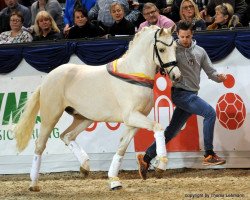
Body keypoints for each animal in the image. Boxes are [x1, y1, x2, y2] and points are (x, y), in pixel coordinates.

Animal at [13, 25, 181, 191]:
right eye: (161, 49)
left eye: (175, 47)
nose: (176, 76)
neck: (134, 75)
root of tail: (48, 78)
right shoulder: (132, 116)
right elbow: (158, 127)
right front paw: (161, 165)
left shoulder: (134, 121)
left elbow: (122, 147)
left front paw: (114, 181)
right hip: (51, 115)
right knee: (40, 144)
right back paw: (34, 184)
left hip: (83, 118)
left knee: (67, 136)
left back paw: (85, 167)